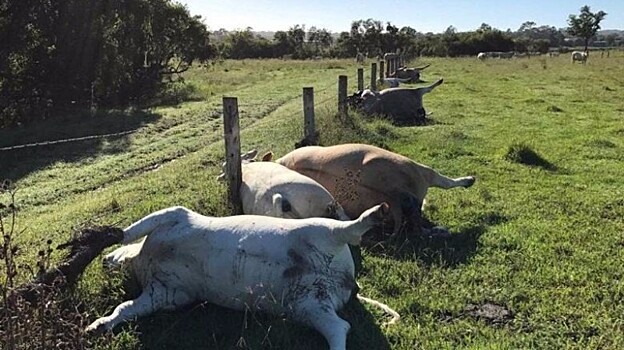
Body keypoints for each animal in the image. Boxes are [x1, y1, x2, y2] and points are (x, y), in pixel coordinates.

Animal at [85, 204, 398, 348]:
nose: (105, 262)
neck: (145, 258)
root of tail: (348, 280)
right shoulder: (167, 294)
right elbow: (126, 308)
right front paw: (97, 327)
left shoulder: (174, 215)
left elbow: (130, 230)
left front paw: (101, 238)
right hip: (308, 306)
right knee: (338, 328)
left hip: (321, 229)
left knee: (349, 230)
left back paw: (376, 214)